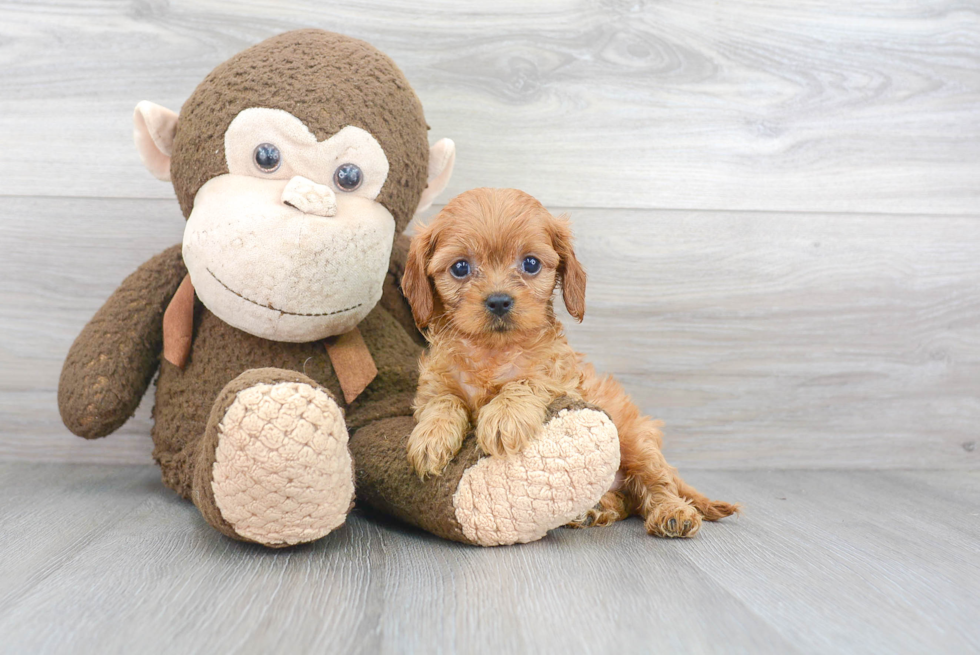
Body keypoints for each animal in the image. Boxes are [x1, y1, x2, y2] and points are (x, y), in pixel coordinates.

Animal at [400, 188, 736, 540]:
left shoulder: (561, 379)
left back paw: (672, 512)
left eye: (530, 263)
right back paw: (594, 510)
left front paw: (504, 416)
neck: (494, 350)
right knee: (626, 500)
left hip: (635, 439)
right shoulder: (434, 384)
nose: (499, 301)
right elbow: (443, 400)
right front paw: (431, 437)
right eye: (460, 268)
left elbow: (526, 381)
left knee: (656, 483)